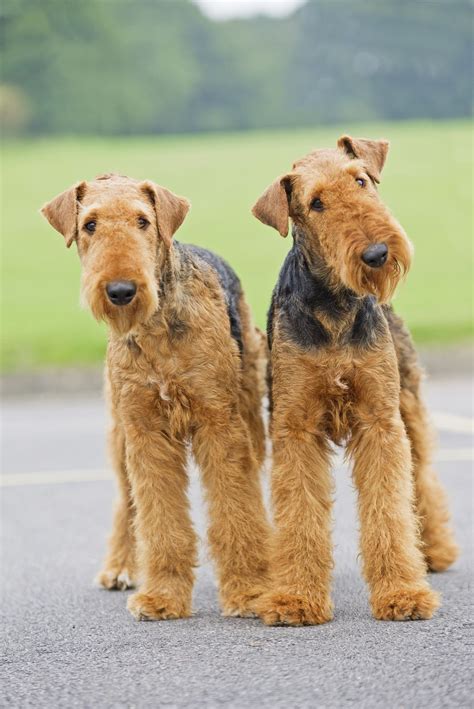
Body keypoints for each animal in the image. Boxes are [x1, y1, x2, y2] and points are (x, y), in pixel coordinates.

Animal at [40, 173, 270, 620]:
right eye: (90, 224)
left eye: (143, 221)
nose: (121, 290)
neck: (156, 327)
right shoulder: (146, 431)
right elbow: (160, 522)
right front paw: (163, 596)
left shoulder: (220, 423)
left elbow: (236, 510)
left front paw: (249, 591)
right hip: (119, 432)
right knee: (126, 503)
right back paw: (119, 567)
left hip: (251, 413)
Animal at [250, 136, 458, 624]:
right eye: (316, 203)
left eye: (361, 180)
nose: (377, 254)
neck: (335, 306)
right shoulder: (295, 428)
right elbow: (299, 514)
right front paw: (295, 598)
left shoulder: (381, 421)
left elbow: (390, 510)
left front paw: (403, 593)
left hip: (409, 409)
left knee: (424, 482)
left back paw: (435, 552)